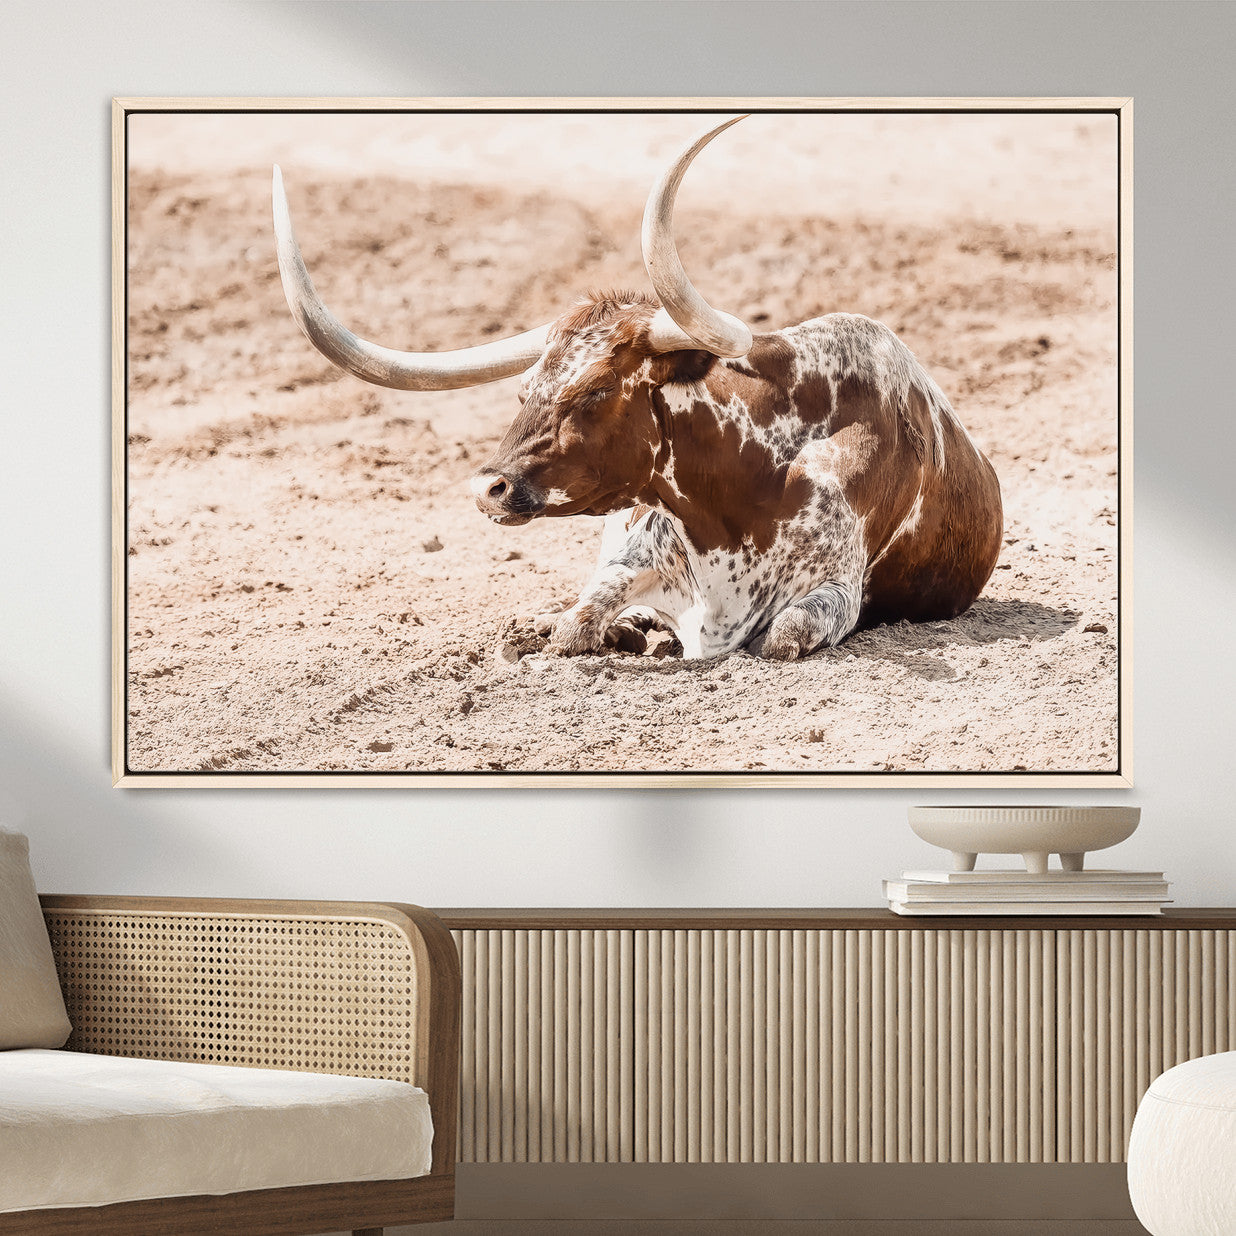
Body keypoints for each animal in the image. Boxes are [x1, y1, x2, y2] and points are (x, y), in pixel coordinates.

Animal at [273, 117, 1002, 661]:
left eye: (595, 392)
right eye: (524, 390)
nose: (489, 488)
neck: (742, 491)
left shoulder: (834, 592)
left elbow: (780, 636)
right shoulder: (630, 553)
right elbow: (575, 622)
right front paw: (592, 629)